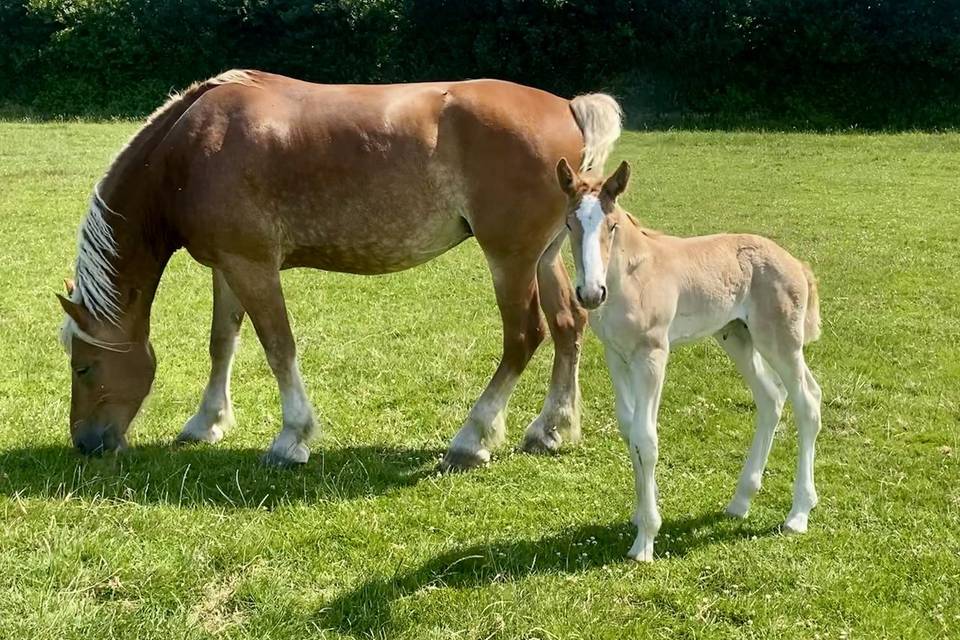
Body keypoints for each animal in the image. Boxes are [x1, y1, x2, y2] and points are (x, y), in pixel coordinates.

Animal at [56, 71, 624, 470]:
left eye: (83, 367)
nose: (86, 442)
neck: (193, 147)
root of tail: (568, 107)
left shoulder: (253, 266)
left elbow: (278, 346)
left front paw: (291, 438)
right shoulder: (228, 265)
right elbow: (223, 342)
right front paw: (206, 423)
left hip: (510, 259)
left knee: (524, 336)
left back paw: (471, 439)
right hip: (544, 257)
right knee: (569, 325)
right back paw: (551, 430)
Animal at [556, 159, 824, 560]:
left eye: (612, 225)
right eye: (570, 224)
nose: (590, 293)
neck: (631, 277)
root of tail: (797, 264)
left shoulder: (653, 354)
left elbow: (646, 437)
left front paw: (646, 540)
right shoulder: (616, 355)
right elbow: (629, 430)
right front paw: (640, 512)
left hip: (781, 342)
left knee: (807, 400)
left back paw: (798, 514)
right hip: (736, 336)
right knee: (771, 398)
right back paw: (740, 501)